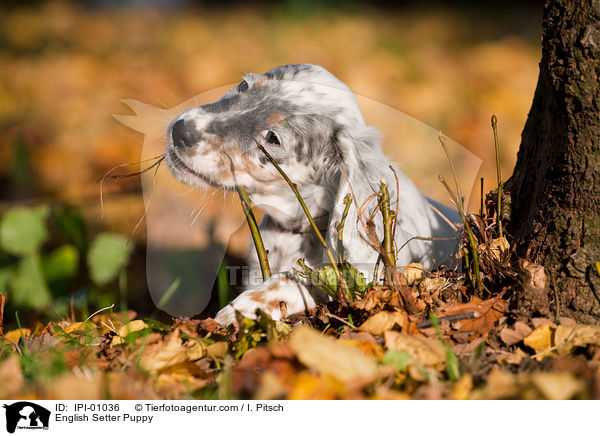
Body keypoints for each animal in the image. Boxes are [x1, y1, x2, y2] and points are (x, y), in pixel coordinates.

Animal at [164, 63, 460, 324]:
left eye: (272, 137)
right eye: (244, 85)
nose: (181, 131)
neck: (298, 232)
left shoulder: (368, 276)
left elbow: (307, 278)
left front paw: (249, 306)